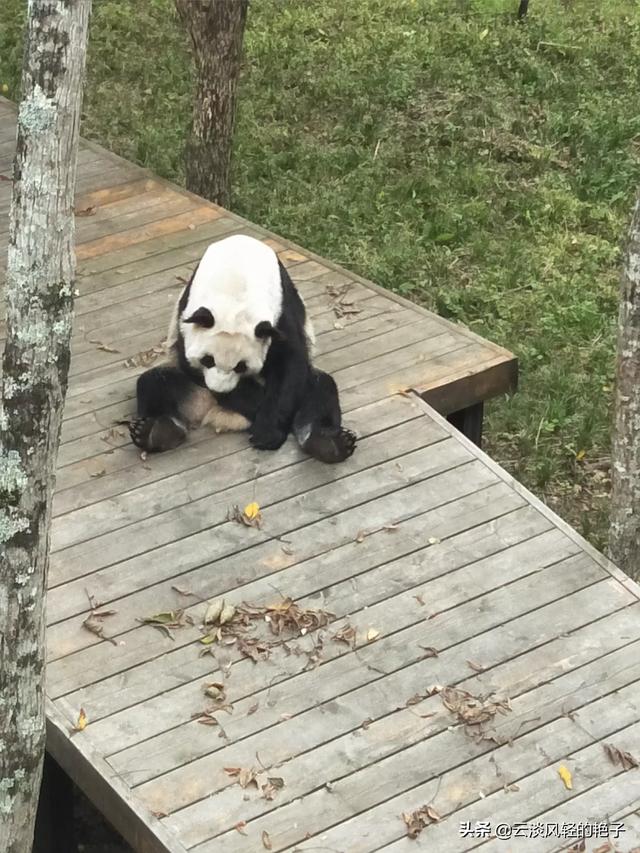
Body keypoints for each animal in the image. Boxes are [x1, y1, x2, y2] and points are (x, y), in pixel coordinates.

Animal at [124, 233, 356, 462]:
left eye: (241, 366)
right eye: (207, 360)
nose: (219, 390)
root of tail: (214, 413)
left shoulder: (281, 309)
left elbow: (290, 363)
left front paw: (267, 433)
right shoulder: (186, 315)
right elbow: (187, 362)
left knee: (319, 390)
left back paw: (328, 443)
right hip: (188, 386)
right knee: (154, 382)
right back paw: (157, 432)